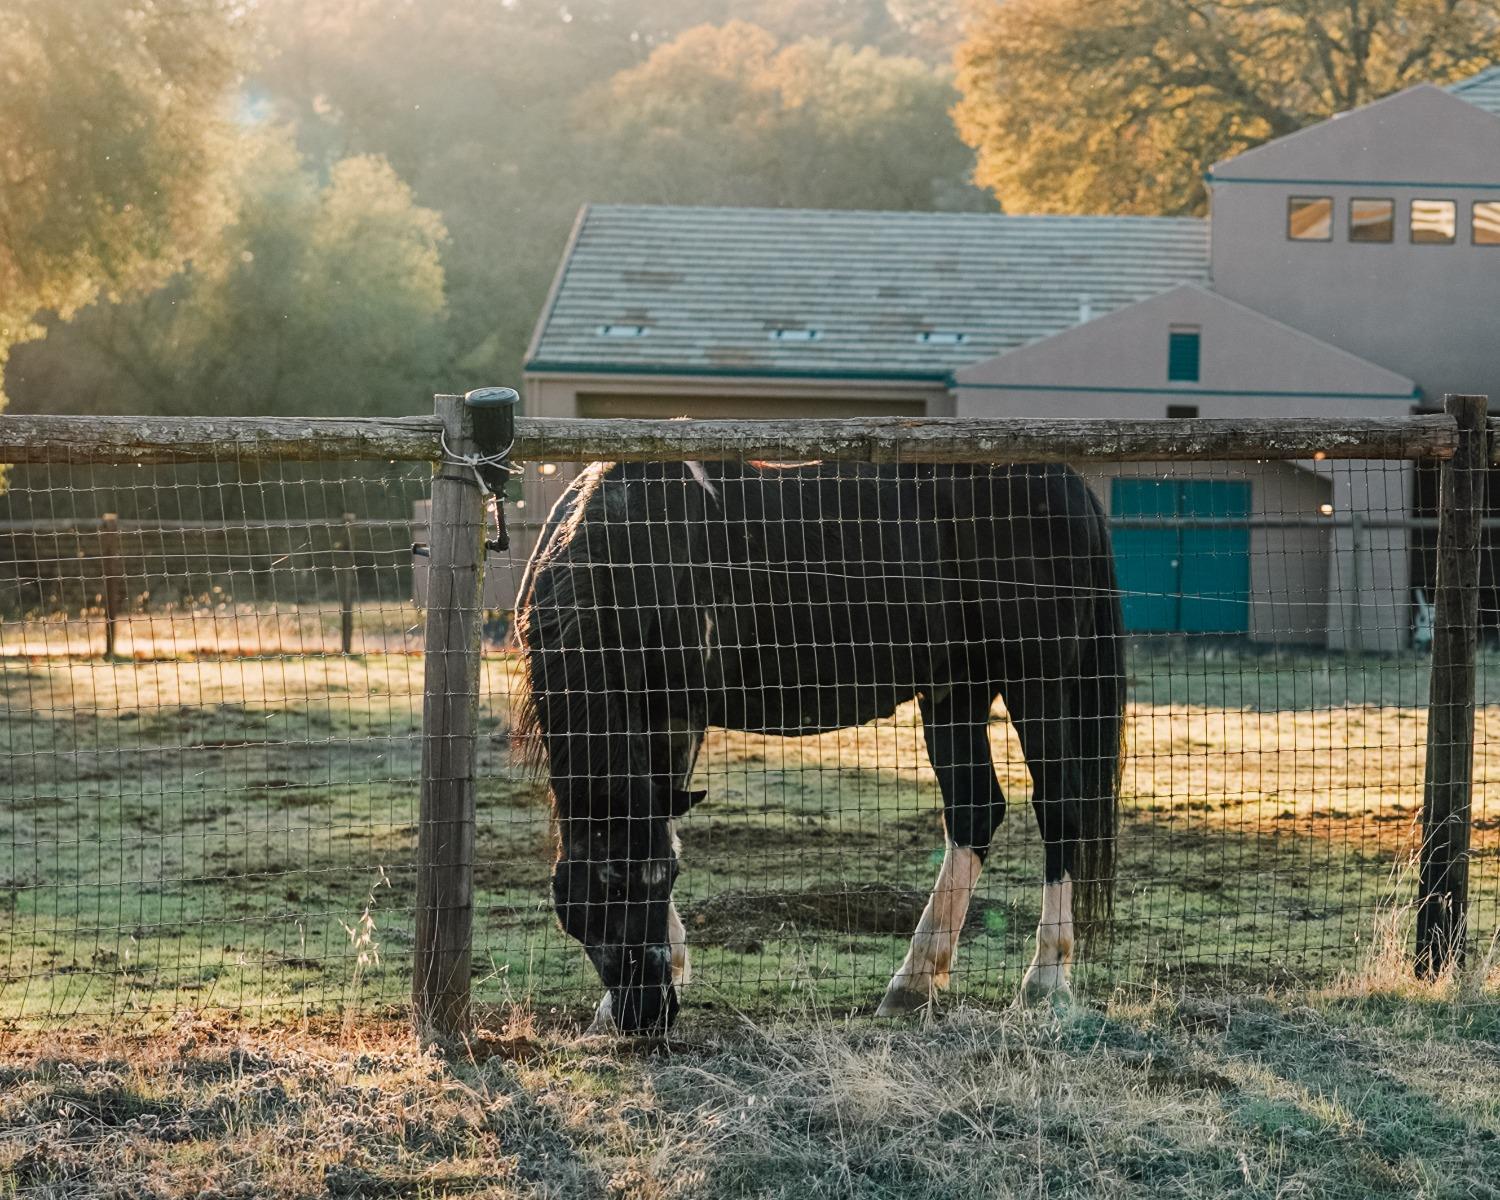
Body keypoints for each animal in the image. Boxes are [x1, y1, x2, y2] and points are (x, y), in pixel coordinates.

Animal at [510, 459, 1122, 1032]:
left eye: (664, 882)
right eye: (606, 889)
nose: (648, 1011)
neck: (631, 547)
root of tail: (1065, 482)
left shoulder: (678, 713)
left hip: (1035, 680)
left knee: (1059, 807)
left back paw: (1043, 983)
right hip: (958, 687)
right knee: (976, 809)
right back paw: (912, 984)